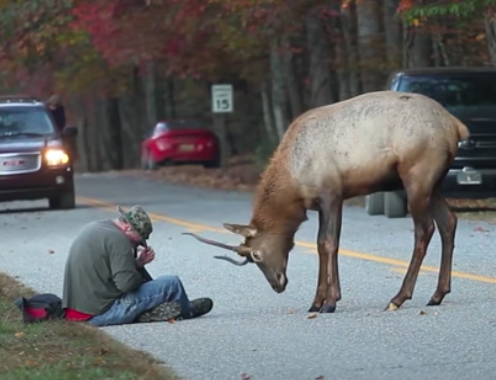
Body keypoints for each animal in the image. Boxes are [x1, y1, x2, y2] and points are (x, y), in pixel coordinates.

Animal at [185, 90, 468, 314]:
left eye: (255, 254)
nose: (277, 284)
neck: (294, 186)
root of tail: (455, 125)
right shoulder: (321, 203)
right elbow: (323, 245)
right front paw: (318, 301)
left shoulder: (331, 194)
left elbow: (329, 243)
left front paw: (330, 302)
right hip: (435, 183)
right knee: (449, 222)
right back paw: (437, 294)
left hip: (417, 176)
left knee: (424, 229)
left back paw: (398, 298)